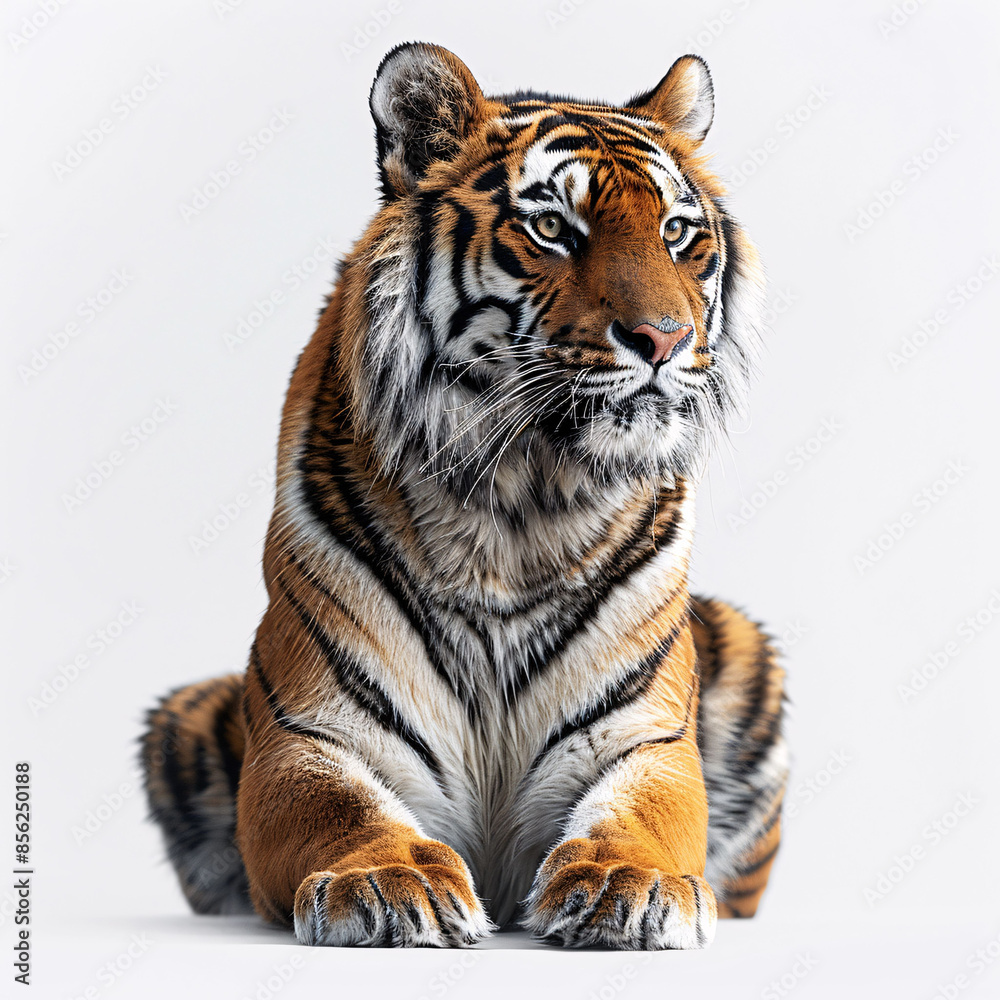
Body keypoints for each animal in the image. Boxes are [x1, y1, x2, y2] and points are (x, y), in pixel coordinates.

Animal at [142, 42, 788, 950]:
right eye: (551, 228)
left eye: (676, 234)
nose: (666, 339)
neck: (519, 507)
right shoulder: (307, 736)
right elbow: (341, 810)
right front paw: (388, 880)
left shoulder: (645, 737)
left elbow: (643, 815)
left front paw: (629, 884)